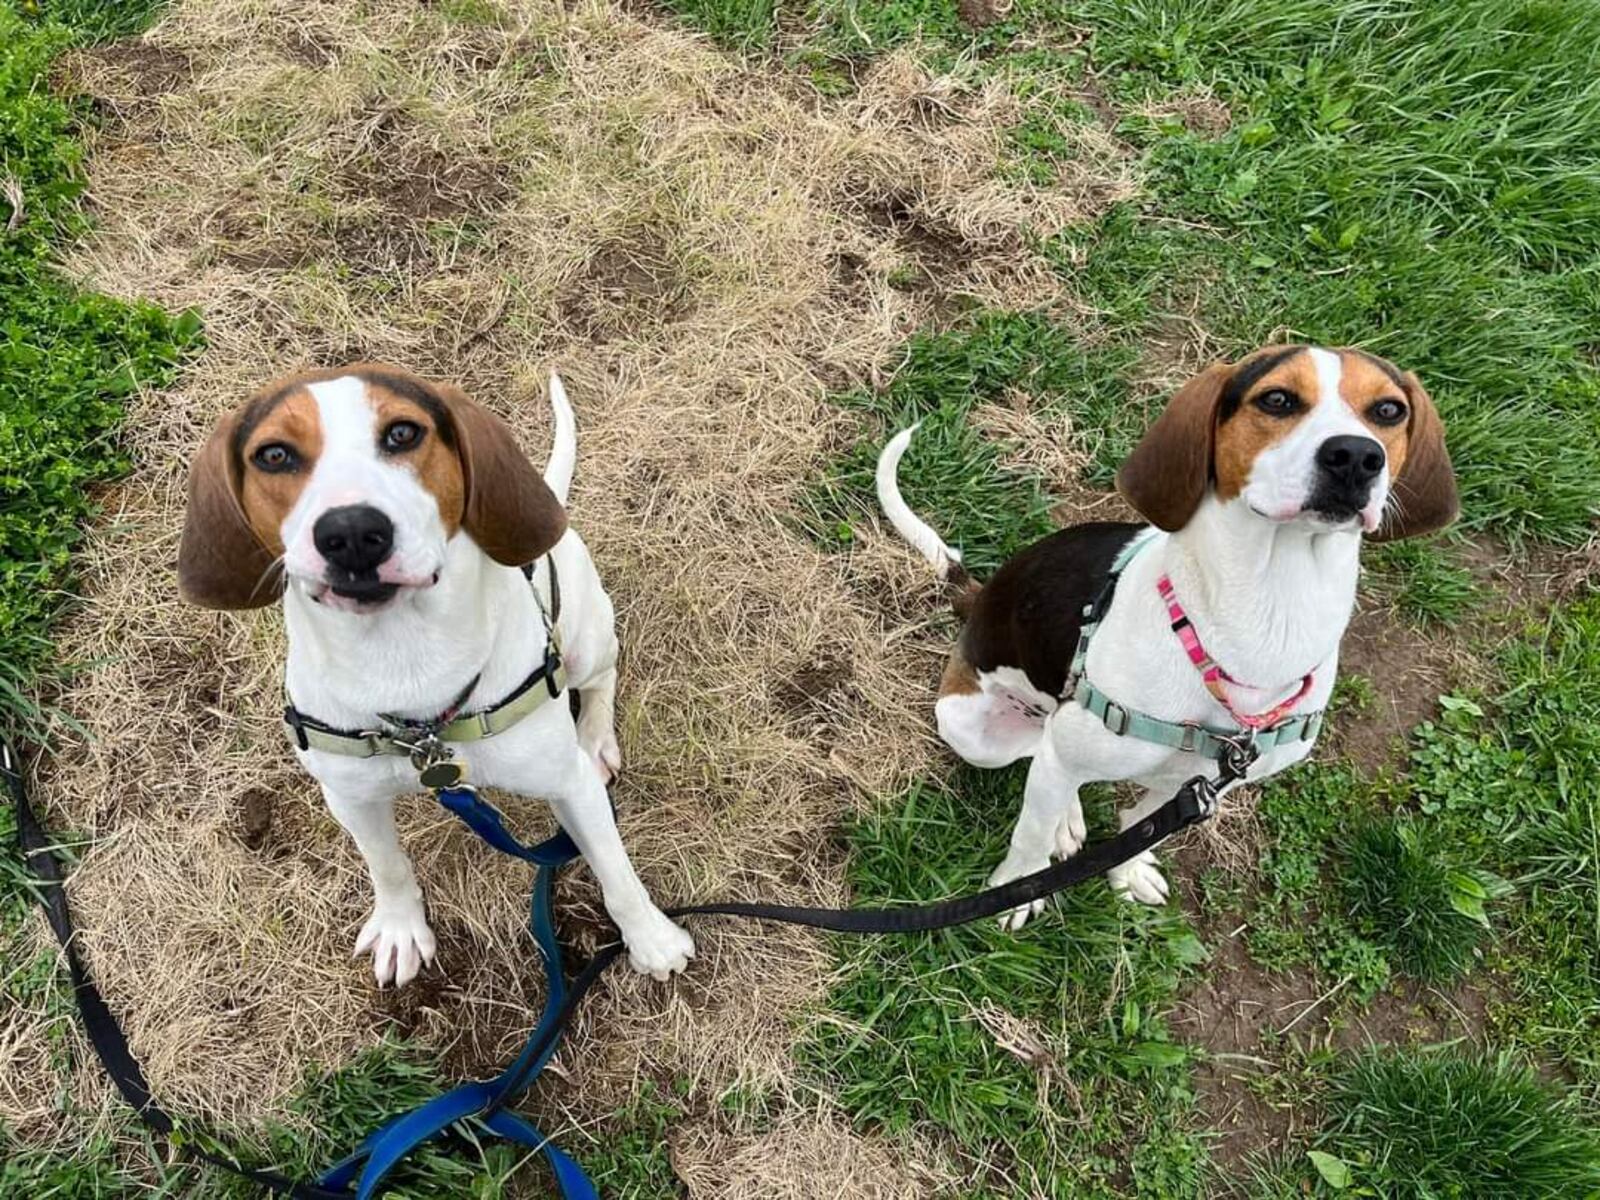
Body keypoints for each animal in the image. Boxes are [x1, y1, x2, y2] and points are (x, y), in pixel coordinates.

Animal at [181, 364, 694, 985]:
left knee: (601, 680)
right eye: (274, 454)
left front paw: (651, 939)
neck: (405, 664)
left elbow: (616, 872)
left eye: (403, 433)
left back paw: (596, 737)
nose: (352, 532)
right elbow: (388, 866)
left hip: (586, 639)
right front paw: (401, 927)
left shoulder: (569, 785)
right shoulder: (350, 798)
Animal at [883, 347, 1459, 928]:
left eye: (1388, 410)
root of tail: (978, 599)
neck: (1268, 614)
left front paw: (1127, 872)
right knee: (1037, 753)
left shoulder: (1195, 786)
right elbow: (1029, 838)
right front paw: (1018, 891)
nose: (1356, 456)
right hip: (973, 732)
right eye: (1277, 399)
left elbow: (1140, 830)